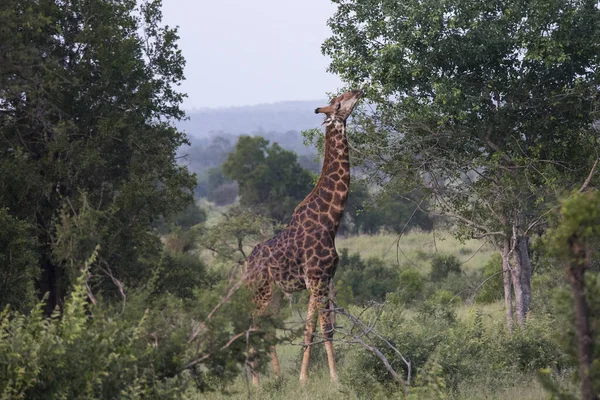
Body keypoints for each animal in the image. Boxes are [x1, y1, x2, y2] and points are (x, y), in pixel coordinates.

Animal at [243, 89, 364, 382]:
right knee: (251, 329)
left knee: (265, 329)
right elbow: (325, 329)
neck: (330, 220)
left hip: (275, 294)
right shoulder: (318, 278)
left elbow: (313, 329)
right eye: (340, 101)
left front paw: (302, 380)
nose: (359, 90)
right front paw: (335, 380)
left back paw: (275, 379)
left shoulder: (322, 279)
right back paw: (258, 384)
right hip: (260, 291)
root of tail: (245, 265)